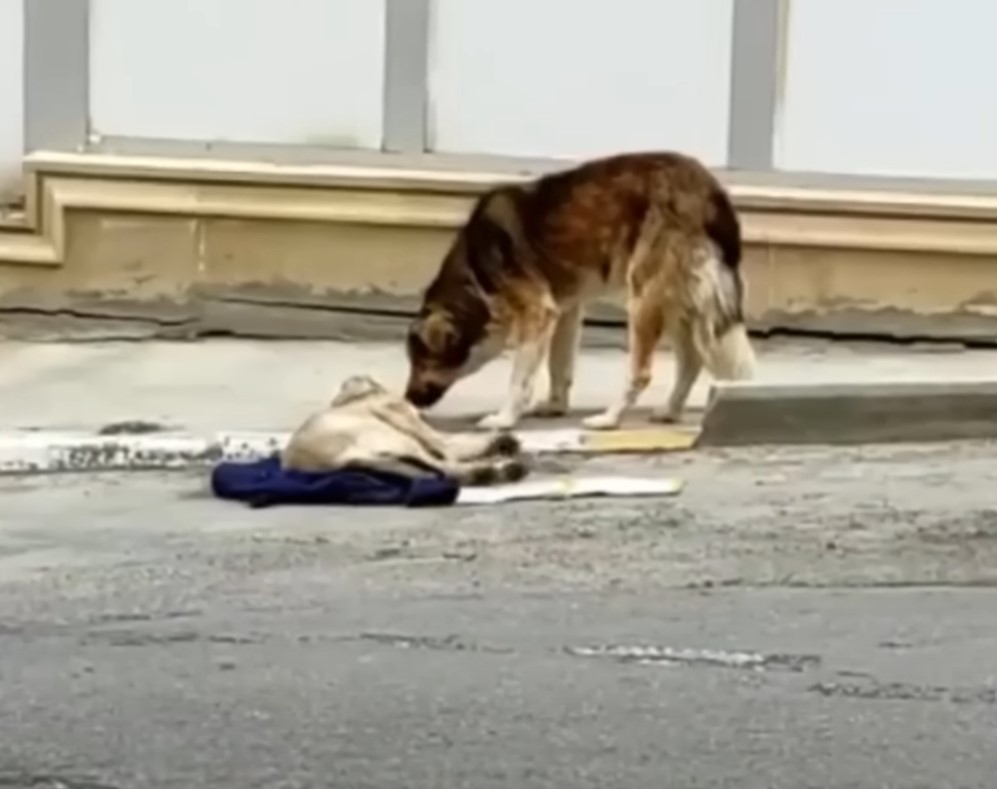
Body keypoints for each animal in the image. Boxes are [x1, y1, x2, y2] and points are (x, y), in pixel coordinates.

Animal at [280, 372, 528, 484]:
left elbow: (450, 441)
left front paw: (501, 442)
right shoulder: (402, 415)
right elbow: (445, 443)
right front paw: (499, 444)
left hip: (394, 457)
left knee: (433, 470)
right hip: (392, 438)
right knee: (445, 467)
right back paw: (495, 470)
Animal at [404, 150, 756, 428]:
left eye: (420, 361)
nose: (407, 399)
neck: (474, 279)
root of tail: (712, 192)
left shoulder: (538, 311)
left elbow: (520, 379)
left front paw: (504, 419)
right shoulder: (565, 311)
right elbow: (559, 366)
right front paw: (555, 406)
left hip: (644, 297)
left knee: (641, 372)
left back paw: (609, 419)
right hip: (677, 298)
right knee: (692, 360)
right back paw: (669, 411)